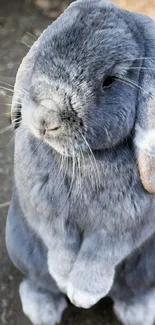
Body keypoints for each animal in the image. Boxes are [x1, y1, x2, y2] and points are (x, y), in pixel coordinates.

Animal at [5, 0, 155, 322]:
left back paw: (139, 312)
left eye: (110, 81)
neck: (84, 158)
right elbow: (59, 242)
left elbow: (101, 253)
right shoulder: (45, 211)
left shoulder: (124, 226)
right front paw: (65, 279)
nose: (45, 119)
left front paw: (83, 295)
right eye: (41, 52)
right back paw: (42, 310)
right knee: (37, 281)